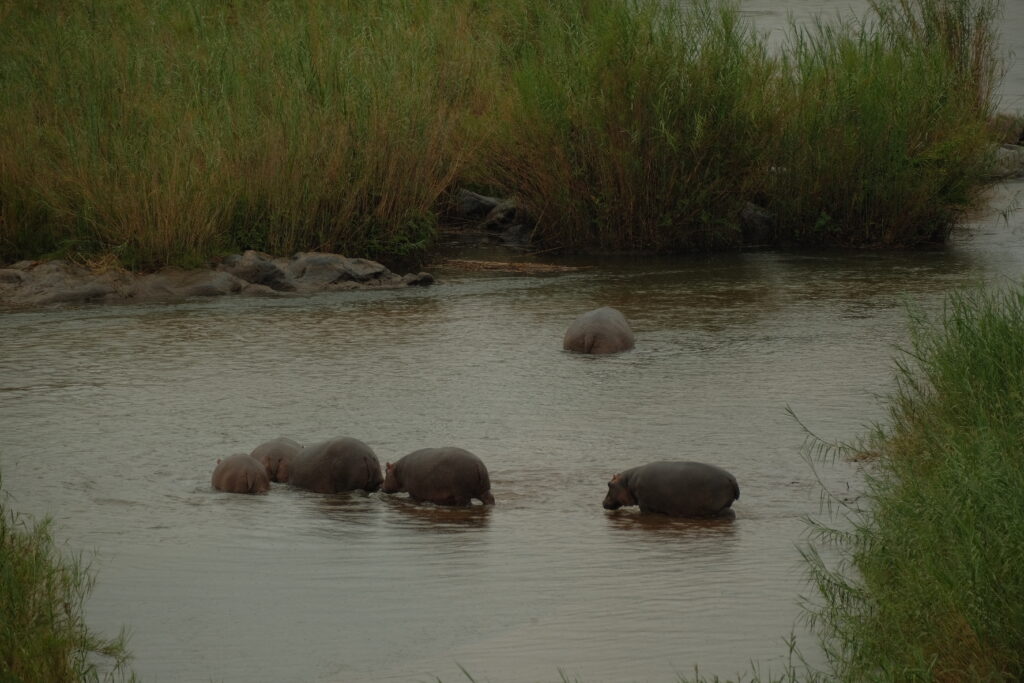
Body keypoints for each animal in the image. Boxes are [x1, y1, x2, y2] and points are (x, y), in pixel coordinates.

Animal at [602, 462, 741, 520]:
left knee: (731, 513)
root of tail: (732, 479)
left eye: (609, 484)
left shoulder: (644, 504)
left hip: (719, 508)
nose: (603, 503)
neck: (627, 482)